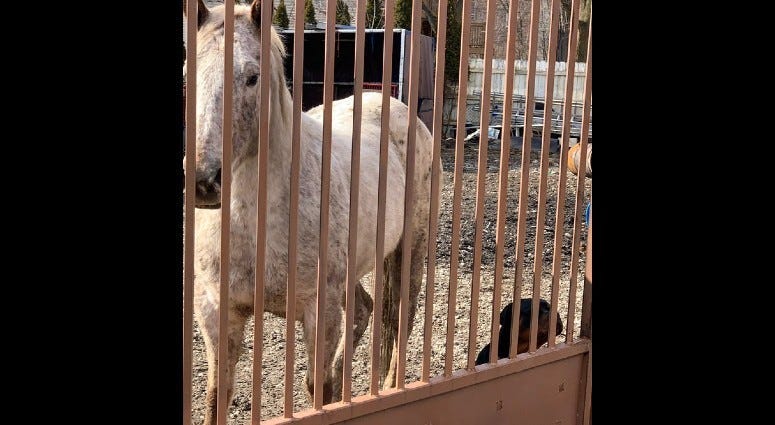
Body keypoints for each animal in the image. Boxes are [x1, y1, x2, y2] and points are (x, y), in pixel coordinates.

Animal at [184, 1, 435, 422]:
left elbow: (317, 389)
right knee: (365, 310)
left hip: (409, 251)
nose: (204, 181)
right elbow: (218, 397)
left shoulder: (321, 311)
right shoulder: (218, 312)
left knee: (400, 319)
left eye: (252, 78)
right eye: (189, 74)